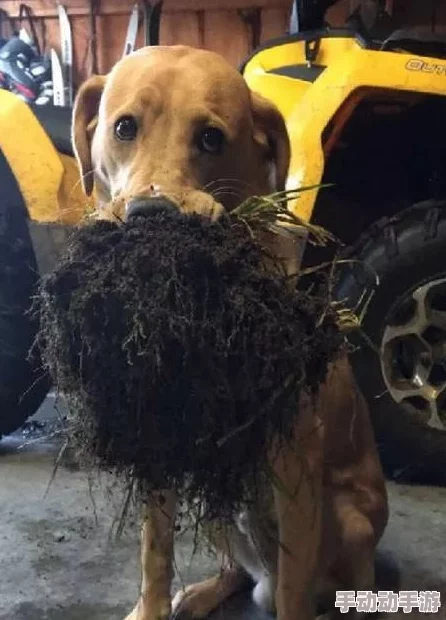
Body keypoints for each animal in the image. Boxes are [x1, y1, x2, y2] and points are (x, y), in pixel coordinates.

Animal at [71, 44, 388, 620]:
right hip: (213, 501)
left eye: (211, 138)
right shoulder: (160, 446)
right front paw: (151, 607)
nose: (153, 214)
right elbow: (154, 556)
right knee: (236, 570)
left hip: (349, 518)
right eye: (124, 127)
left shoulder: (295, 470)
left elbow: (294, 592)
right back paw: (201, 593)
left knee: (328, 584)